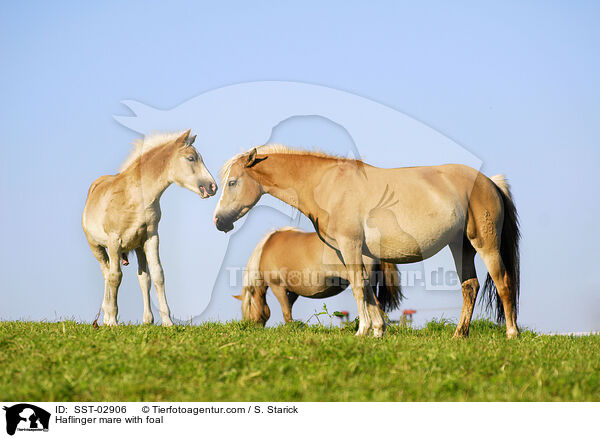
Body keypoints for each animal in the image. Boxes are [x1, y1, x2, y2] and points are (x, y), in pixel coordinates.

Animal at [82, 130, 217, 326]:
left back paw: (147, 319)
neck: (135, 196)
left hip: (138, 247)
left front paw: (167, 321)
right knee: (106, 273)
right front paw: (113, 320)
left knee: (142, 278)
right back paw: (107, 316)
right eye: (191, 158)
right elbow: (115, 277)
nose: (212, 186)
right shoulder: (114, 241)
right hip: (97, 248)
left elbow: (157, 275)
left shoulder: (151, 237)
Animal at [234, 226, 404, 326]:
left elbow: (286, 311)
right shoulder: (294, 290)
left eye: (248, 305)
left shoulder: (278, 287)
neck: (266, 249)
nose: (252, 325)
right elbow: (289, 307)